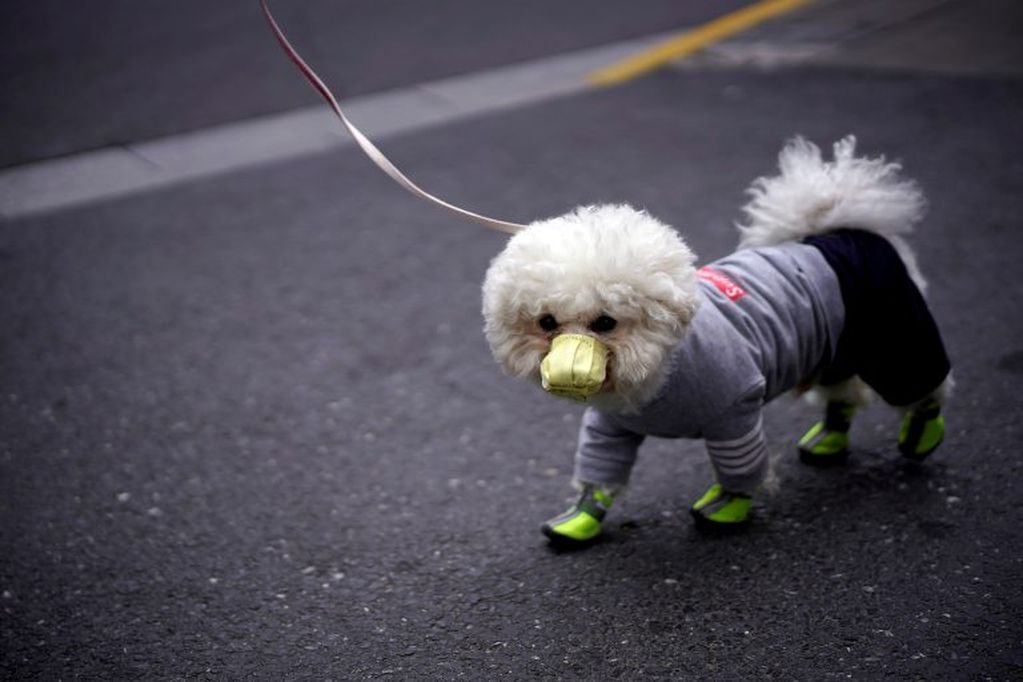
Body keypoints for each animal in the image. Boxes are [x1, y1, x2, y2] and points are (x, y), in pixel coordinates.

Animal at [478, 137, 949, 543]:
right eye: (547, 322)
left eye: (606, 323)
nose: (566, 372)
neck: (658, 376)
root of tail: (838, 233)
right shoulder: (609, 424)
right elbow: (599, 472)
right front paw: (580, 519)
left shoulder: (735, 414)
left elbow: (739, 472)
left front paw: (726, 509)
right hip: (835, 348)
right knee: (843, 393)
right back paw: (829, 439)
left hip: (893, 336)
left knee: (922, 386)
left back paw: (922, 433)